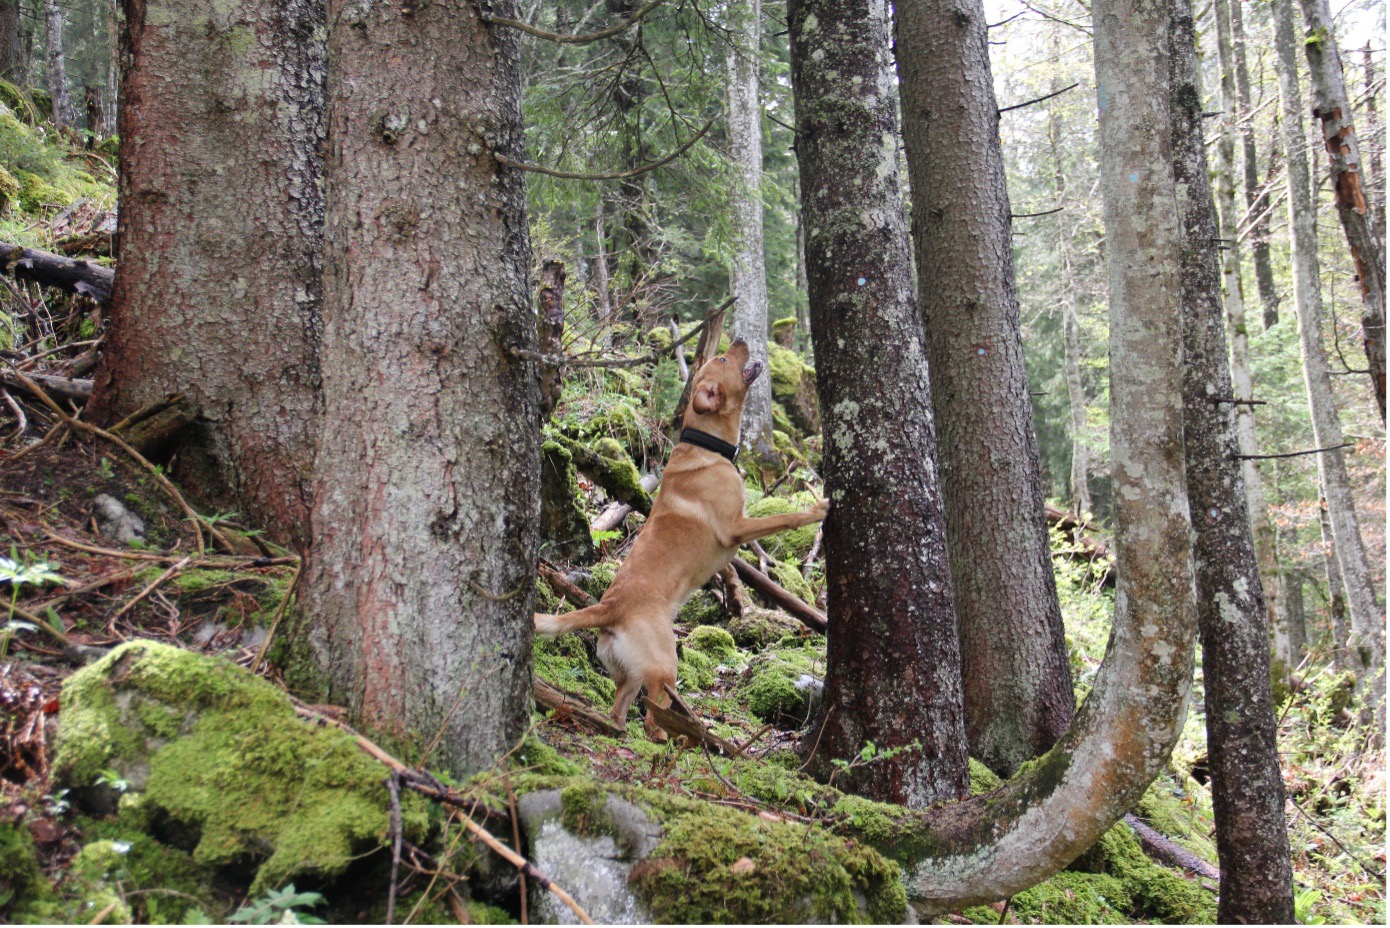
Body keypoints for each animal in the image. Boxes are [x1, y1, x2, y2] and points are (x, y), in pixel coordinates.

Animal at [535, 336, 829, 738]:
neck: (705, 445)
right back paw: (671, 738)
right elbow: (783, 518)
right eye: (724, 358)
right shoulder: (737, 526)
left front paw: (736, 595)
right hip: (664, 667)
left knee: (620, 712)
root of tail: (609, 608)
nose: (740, 339)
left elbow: (732, 570)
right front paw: (817, 511)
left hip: (630, 677)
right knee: (651, 717)